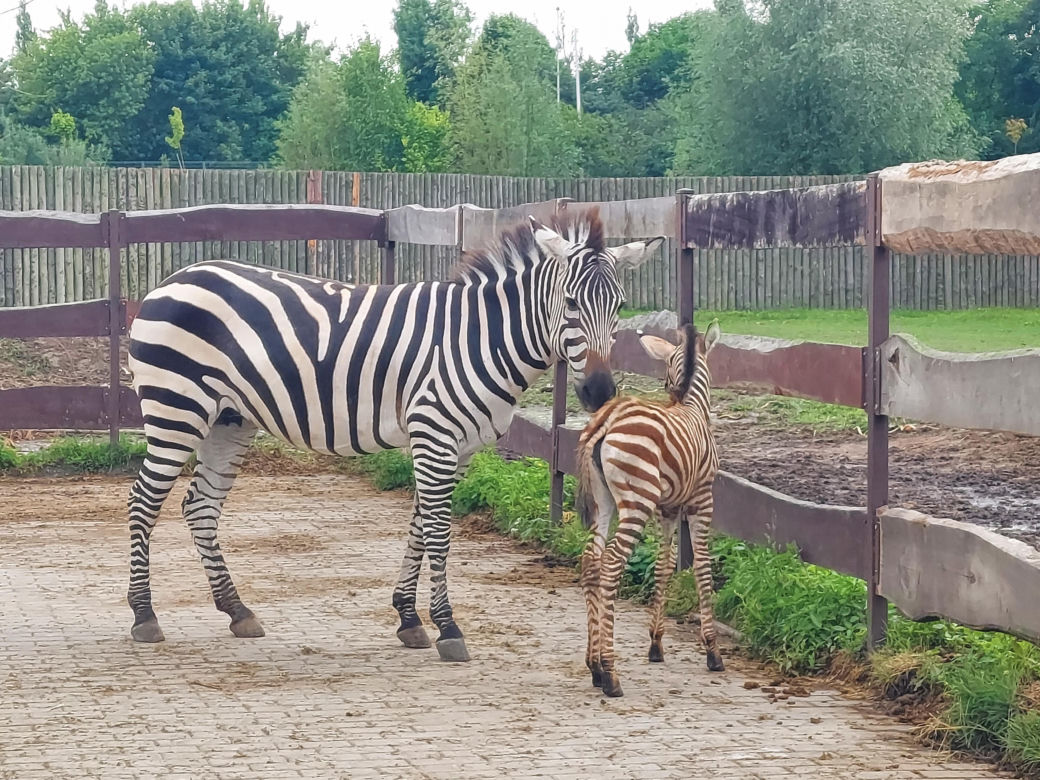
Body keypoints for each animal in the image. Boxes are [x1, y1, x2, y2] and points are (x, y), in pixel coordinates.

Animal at [124, 208, 663, 662]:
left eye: (619, 306)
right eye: (569, 303)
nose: (599, 392)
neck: (480, 338)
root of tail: (171, 280)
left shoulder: (457, 447)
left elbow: (421, 526)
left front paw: (409, 618)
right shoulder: (435, 434)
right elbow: (440, 532)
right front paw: (448, 628)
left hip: (228, 420)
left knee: (200, 506)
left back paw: (237, 610)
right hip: (176, 410)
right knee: (142, 501)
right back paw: (144, 615)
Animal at [575, 320, 724, 697]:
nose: (666, 389)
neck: (691, 405)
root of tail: (607, 418)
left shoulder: (667, 508)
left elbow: (664, 565)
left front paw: (656, 644)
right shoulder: (702, 499)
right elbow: (702, 567)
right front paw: (712, 650)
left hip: (604, 500)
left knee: (591, 559)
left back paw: (594, 666)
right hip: (636, 501)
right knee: (612, 564)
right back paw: (610, 673)